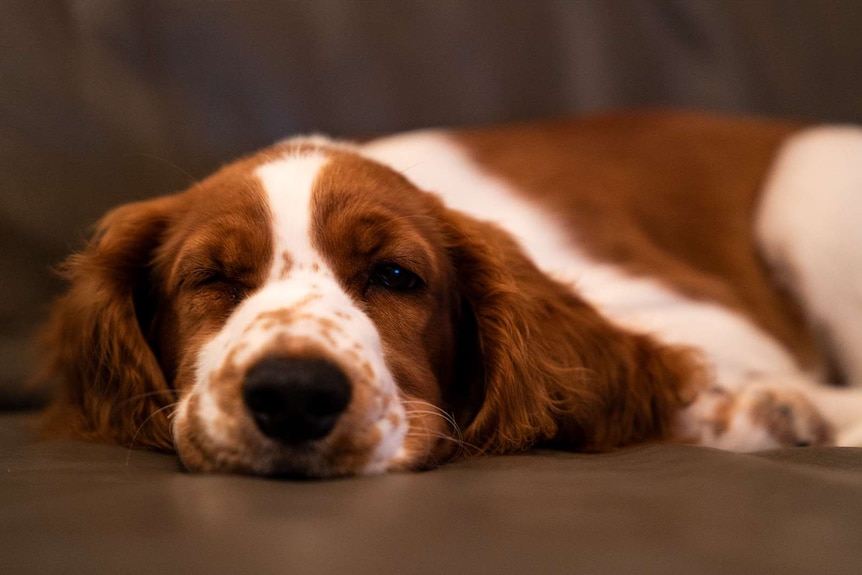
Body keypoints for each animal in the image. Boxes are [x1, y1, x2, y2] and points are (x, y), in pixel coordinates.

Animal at [38, 111, 862, 476]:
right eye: (210, 278)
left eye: (396, 275)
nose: (296, 394)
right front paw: (763, 413)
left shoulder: (713, 316)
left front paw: (769, 410)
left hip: (805, 190)